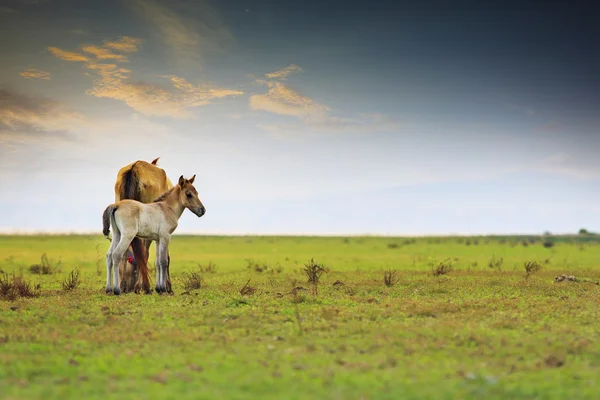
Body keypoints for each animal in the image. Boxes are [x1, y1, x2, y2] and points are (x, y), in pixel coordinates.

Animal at [113, 157, 173, 294]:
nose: (127, 287)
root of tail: (135, 167)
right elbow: (164, 256)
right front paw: (167, 286)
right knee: (144, 252)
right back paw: (143, 286)